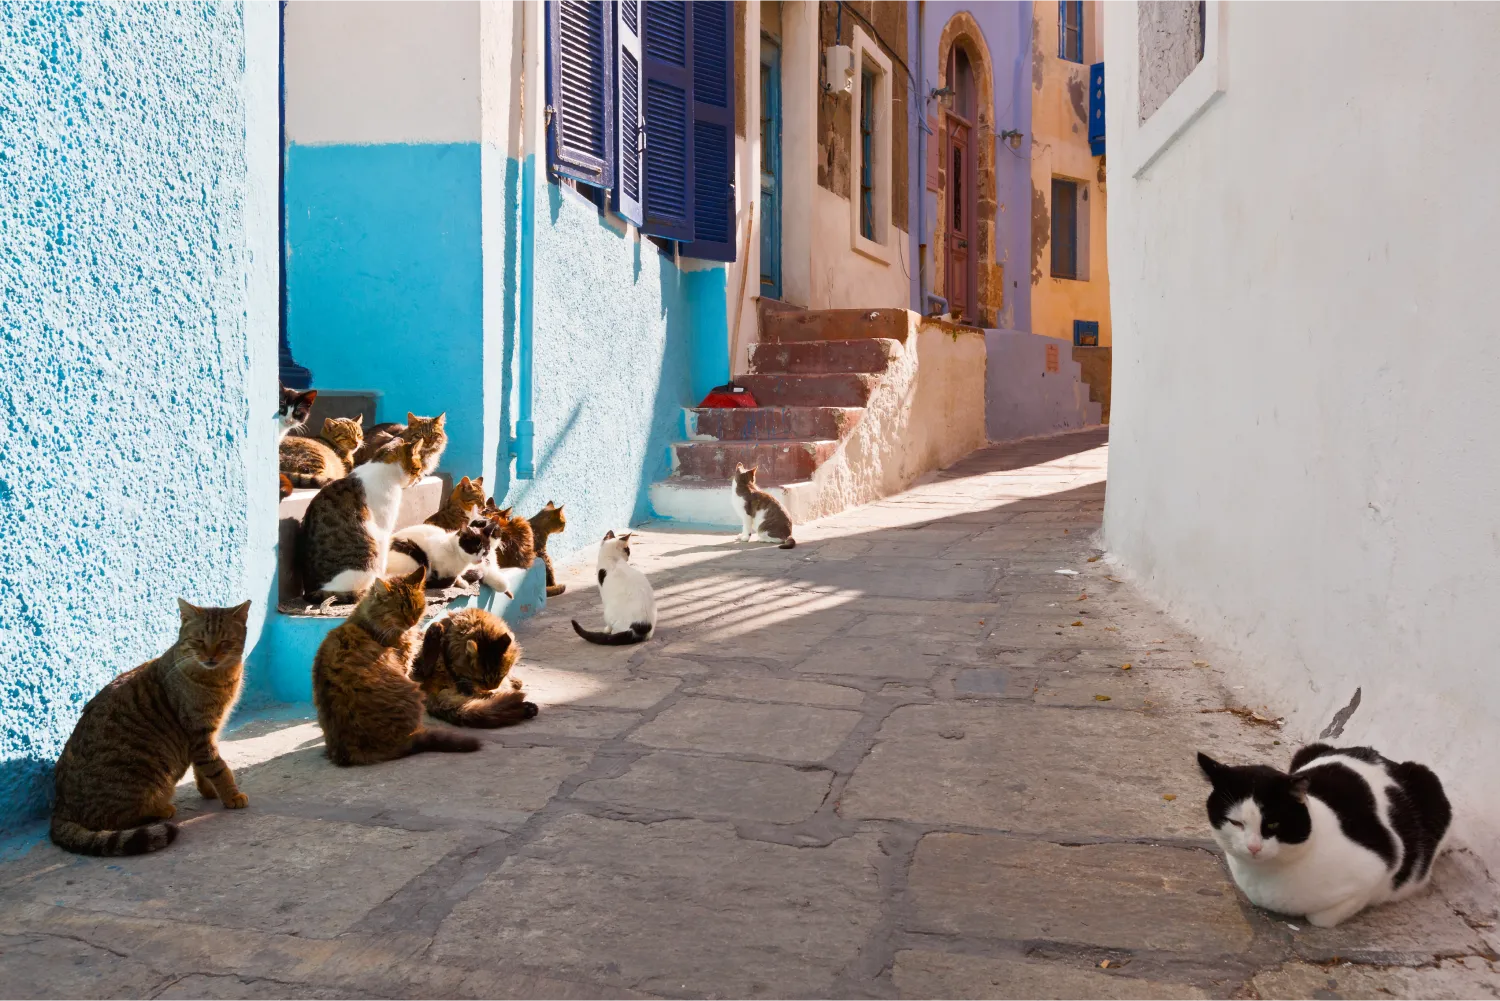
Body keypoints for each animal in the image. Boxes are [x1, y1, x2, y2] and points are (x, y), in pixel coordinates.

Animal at [51, 600, 252, 858]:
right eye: (199, 640)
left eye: (224, 641)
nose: (210, 656)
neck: (217, 677)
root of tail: (60, 808)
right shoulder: (199, 734)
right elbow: (218, 768)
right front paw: (231, 795)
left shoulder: (203, 736)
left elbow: (203, 769)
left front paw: (209, 791)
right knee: (117, 820)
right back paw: (161, 810)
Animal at [300, 438, 429, 603]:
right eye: (418, 467)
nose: (421, 477)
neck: (383, 468)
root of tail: (312, 591)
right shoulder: (383, 531)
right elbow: (383, 560)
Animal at [312, 570, 480, 768]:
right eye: (399, 610)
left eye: (416, 607)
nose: (412, 621)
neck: (368, 624)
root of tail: (351, 752)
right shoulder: (406, 664)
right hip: (412, 692)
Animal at [1194, 744, 1452, 930]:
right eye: (1236, 822)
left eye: (1273, 823)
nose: (1253, 847)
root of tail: (1381, 757)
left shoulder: (1378, 869)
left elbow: (1322, 918)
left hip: (1429, 784)